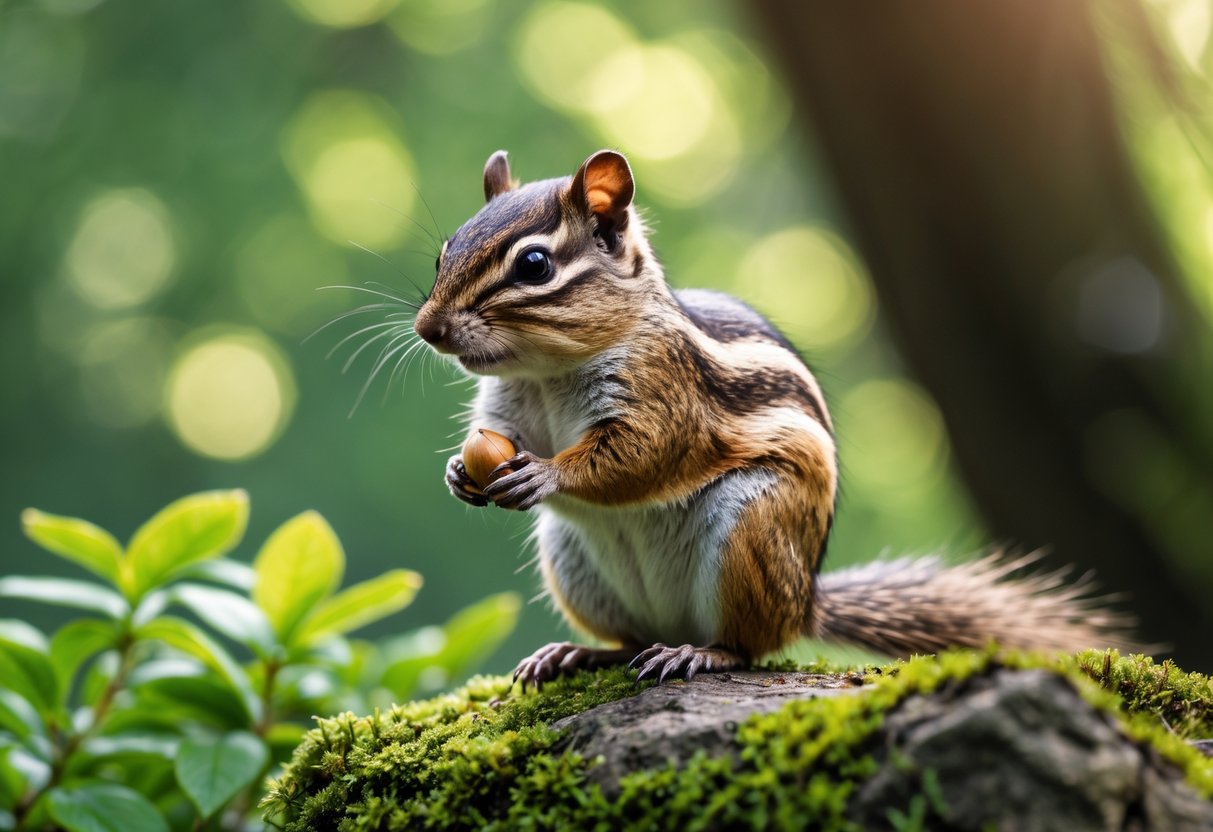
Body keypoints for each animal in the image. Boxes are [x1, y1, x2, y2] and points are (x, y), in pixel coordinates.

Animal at [412, 149, 1128, 687]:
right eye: (446, 250)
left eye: (534, 265)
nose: (428, 329)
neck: (548, 372)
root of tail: (805, 603)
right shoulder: (508, 408)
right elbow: (505, 441)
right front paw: (457, 473)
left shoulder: (667, 395)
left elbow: (642, 454)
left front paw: (547, 475)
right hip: (571, 559)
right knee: (630, 639)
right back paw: (578, 652)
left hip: (751, 529)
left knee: (749, 646)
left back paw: (698, 652)